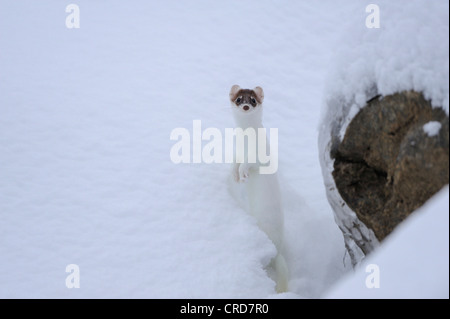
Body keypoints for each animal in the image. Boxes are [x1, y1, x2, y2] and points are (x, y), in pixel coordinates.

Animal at [229, 84, 288, 292]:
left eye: (253, 100)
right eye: (239, 99)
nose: (246, 106)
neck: (246, 142)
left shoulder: (259, 156)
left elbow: (249, 163)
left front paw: (244, 173)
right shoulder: (237, 151)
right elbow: (235, 162)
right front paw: (235, 175)